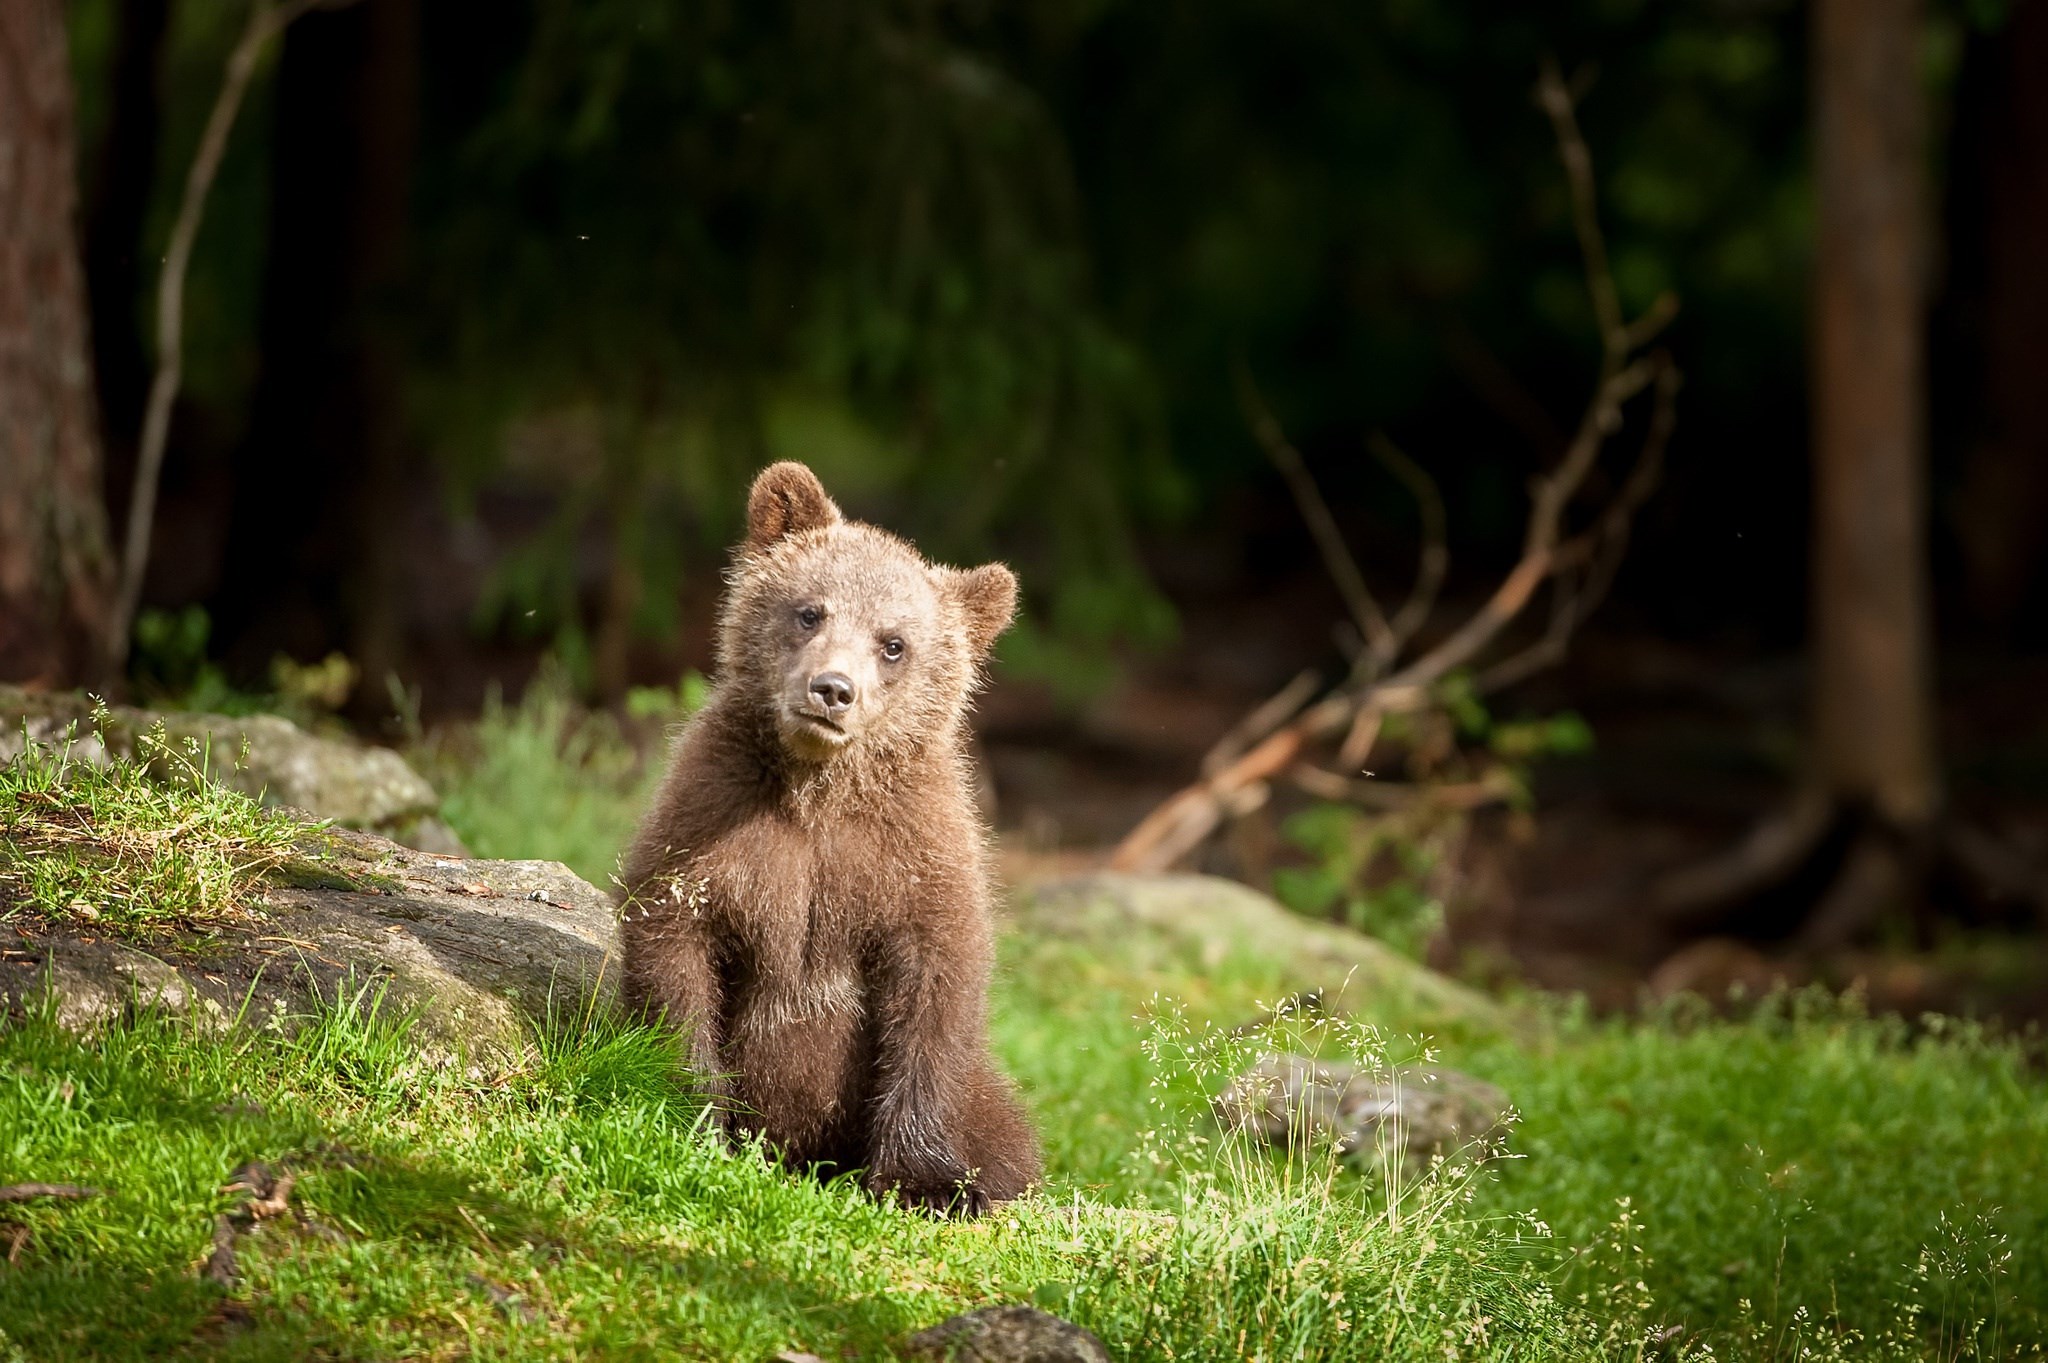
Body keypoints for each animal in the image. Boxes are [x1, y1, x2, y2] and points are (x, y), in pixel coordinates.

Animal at [616, 460, 1041, 1217]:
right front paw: (693, 1119)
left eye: (894, 642)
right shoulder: (713, 819)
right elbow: (675, 955)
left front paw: (925, 1182)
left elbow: (935, 985)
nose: (833, 689)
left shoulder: (910, 855)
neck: (818, 791)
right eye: (810, 610)